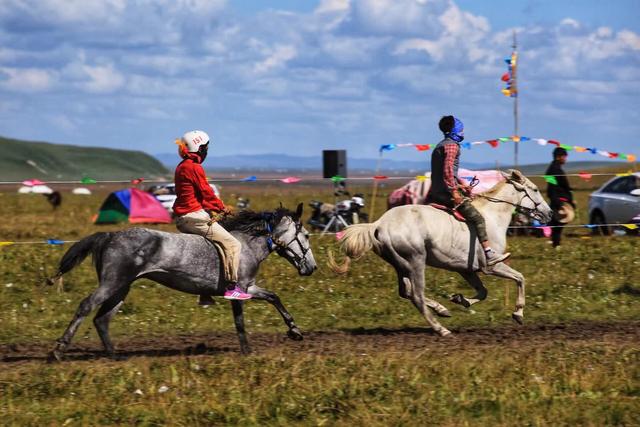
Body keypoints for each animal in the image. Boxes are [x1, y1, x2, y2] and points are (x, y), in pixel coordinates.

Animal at [46, 205, 316, 362]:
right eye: (305, 235)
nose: (311, 268)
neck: (247, 244)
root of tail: (110, 235)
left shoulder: (242, 291)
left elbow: (250, 314)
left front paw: (255, 347)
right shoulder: (244, 288)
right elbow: (264, 304)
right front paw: (290, 333)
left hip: (121, 288)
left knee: (102, 319)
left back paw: (115, 356)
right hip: (112, 284)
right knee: (86, 306)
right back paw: (58, 350)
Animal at [332, 171, 552, 338]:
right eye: (535, 189)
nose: (549, 213)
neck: (493, 217)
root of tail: (378, 224)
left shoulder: (467, 269)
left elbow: (483, 292)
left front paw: (459, 299)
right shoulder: (491, 267)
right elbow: (520, 278)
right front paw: (518, 313)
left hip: (400, 265)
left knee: (406, 292)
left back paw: (441, 309)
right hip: (416, 261)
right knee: (417, 295)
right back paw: (441, 329)